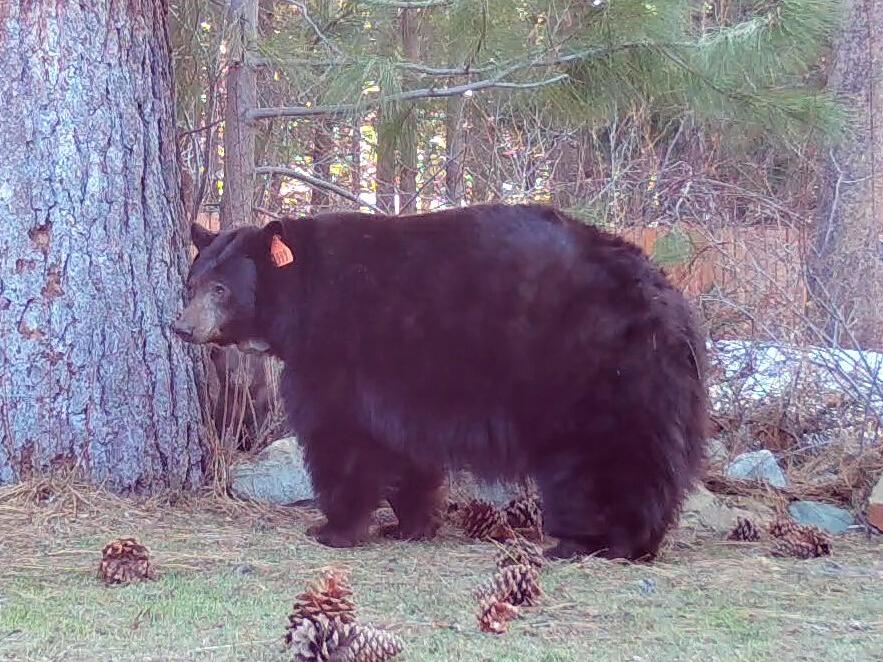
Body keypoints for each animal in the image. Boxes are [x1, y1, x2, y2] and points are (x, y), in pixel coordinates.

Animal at [173, 205, 712, 564]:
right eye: (192, 283)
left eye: (222, 289)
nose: (181, 327)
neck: (301, 293)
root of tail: (670, 300)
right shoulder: (401, 387)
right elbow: (404, 451)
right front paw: (412, 523)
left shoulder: (337, 351)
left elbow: (342, 437)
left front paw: (333, 527)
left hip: (593, 370)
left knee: (605, 459)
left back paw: (597, 542)